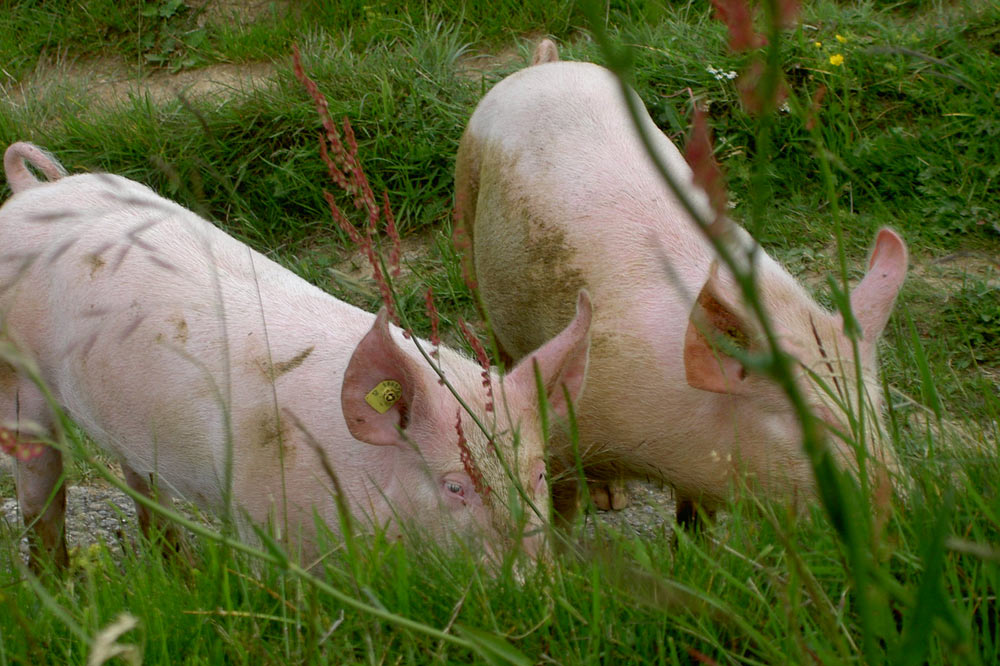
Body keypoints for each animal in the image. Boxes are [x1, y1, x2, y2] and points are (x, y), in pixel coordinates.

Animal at [1, 141, 592, 564]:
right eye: (454, 485)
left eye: (539, 475)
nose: (535, 587)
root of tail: (29, 192)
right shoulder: (261, 515)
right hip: (18, 376)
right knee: (40, 488)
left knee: (144, 483)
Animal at [458, 41, 912, 520]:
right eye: (813, 425)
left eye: (877, 412)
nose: (904, 504)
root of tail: (545, 65)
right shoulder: (565, 431)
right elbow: (558, 502)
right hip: (466, 201)